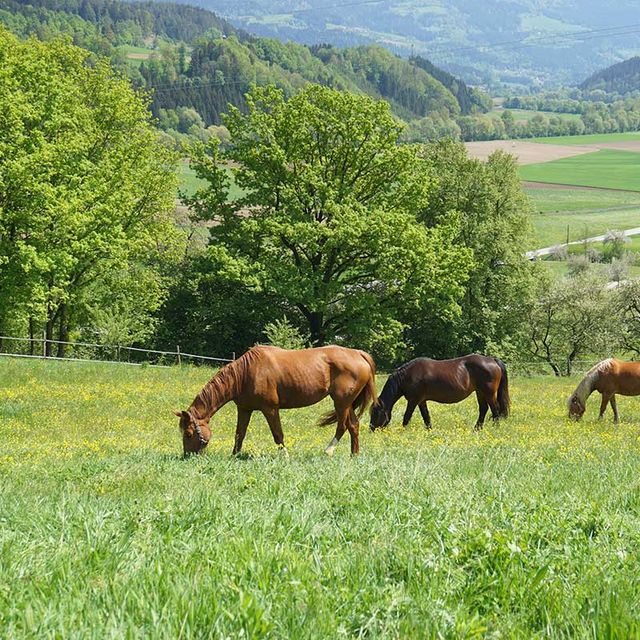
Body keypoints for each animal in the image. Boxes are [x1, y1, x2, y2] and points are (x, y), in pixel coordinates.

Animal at [172, 348, 378, 458]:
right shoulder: (244, 409)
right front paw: (234, 455)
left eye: (189, 433)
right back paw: (354, 454)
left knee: (342, 426)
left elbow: (278, 434)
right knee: (354, 425)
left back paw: (328, 451)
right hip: (348, 404)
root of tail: (359, 354)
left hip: (341, 403)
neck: (245, 374)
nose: (187, 456)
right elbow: (239, 434)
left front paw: (284, 456)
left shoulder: (270, 409)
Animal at [370, 352, 510, 432]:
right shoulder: (421, 401)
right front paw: (429, 431)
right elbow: (426, 417)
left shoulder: (413, 400)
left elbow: (407, 416)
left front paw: (403, 431)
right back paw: (477, 429)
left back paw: (494, 429)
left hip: (489, 393)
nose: (371, 429)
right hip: (480, 392)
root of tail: (492, 359)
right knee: (483, 409)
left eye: (375, 413)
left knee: (495, 410)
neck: (407, 376)